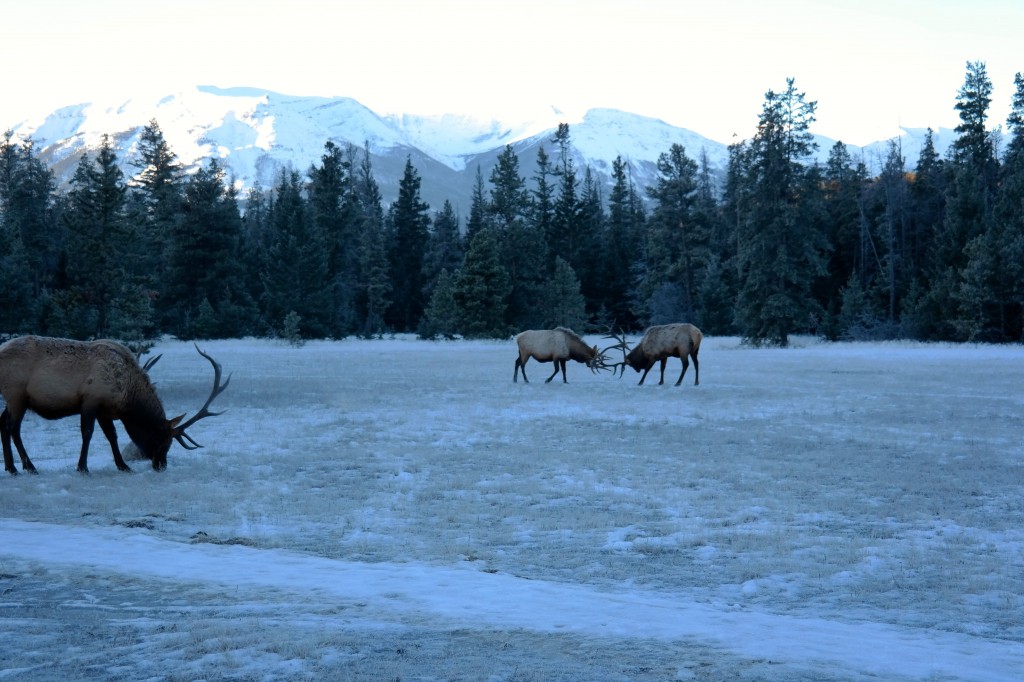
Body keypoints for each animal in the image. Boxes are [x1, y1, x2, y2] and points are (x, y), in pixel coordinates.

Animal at [0, 333, 228, 473]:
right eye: (161, 439)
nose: (161, 465)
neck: (126, 395)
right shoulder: (91, 399)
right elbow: (87, 433)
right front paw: (82, 467)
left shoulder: (105, 409)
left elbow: (112, 436)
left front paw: (123, 466)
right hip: (17, 394)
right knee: (13, 427)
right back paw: (29, 466)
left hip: (13, 398)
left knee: (3, 423)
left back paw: (11, 467)